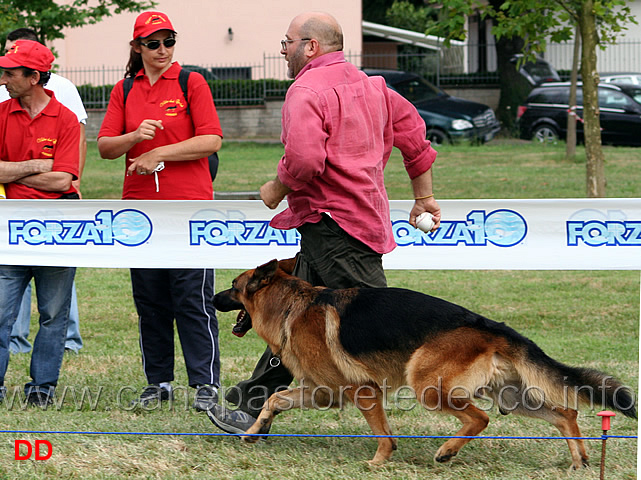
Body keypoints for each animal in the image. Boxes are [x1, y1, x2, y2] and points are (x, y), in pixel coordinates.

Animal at [215, 260, 636, 466]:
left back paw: (448, 450)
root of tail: (492, 326)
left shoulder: (361, 390)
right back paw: (579, 460)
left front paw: (379, 462)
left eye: (233, 286)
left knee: (479, 419)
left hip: (427, 386)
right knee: (566, 413)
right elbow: (273, 400)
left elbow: (383, 434)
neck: (293, 305)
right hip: (513, 397)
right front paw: (253, 431)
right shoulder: (322, 393)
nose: (214, 299)